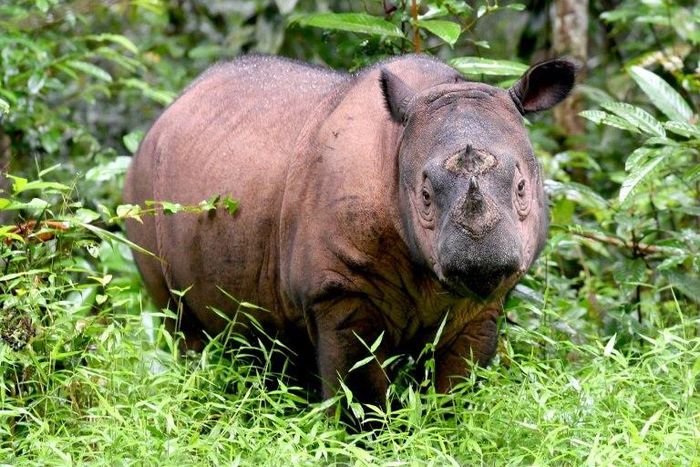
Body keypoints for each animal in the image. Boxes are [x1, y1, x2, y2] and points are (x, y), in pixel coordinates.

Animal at [124, 54, 575, 405]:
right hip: (141, 186)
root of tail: (169, 109)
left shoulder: (484, 304)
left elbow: (457, 386)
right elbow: (360, 389)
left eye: (522, 188)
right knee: (180, 320)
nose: (482, 260)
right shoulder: (339, 290)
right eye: (425, 196)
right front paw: (373, 443)